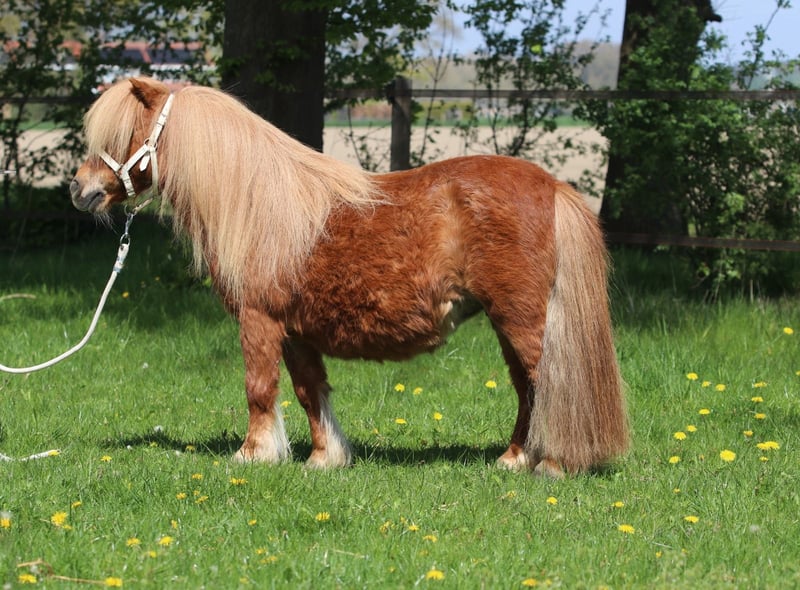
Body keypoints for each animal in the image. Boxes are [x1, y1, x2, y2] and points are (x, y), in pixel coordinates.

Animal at [70, 77, 628, 477]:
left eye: (122, 135)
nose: (79, 190)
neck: (260, 206)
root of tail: (552, 186)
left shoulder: (259, 321)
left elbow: (259, 388)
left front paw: (253, 454)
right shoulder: (296, 332)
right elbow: (308, 391)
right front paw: (324, 459)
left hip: (522, 320)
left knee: (549, 383)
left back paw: (552, 464)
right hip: (510, 321)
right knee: (527, 388)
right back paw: (514, 459)